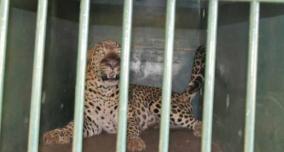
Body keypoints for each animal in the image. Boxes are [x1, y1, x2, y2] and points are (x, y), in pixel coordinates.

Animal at [43, 39, 205, 152]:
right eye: (102, 52)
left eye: (119, 52)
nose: (113, 63)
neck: (104, 91)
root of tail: (181, 94)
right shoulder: (91, 122)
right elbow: (71, 126)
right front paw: (56, 134)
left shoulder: (128, 117)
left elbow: (131, 129)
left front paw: (134, 141)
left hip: (158, 104)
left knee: (195, 120)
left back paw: (201, 130)